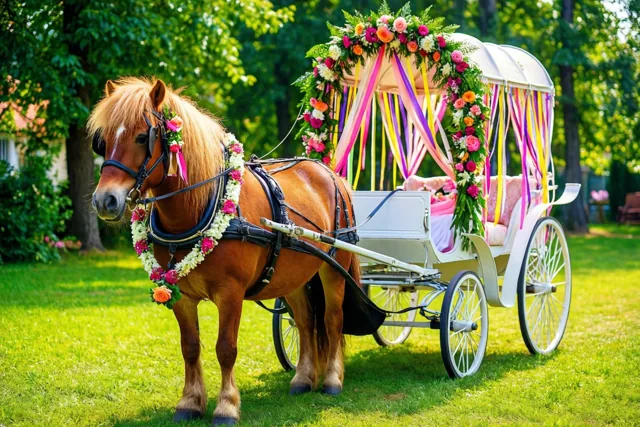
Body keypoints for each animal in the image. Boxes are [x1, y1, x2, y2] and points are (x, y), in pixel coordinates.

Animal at [88, 77, 359, 425]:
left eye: (141, 136)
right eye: (103, 140)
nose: (104, 200)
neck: (198, 206)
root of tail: (329, 173)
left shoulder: (231, 292)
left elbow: (226, 348)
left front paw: (227, 406)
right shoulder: (179, 293)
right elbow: (189, 346)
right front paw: (190, 402)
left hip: (333, 269)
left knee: (332, 319)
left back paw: (332, 379)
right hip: (294, 274)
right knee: (305, 321)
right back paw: (302, 378)